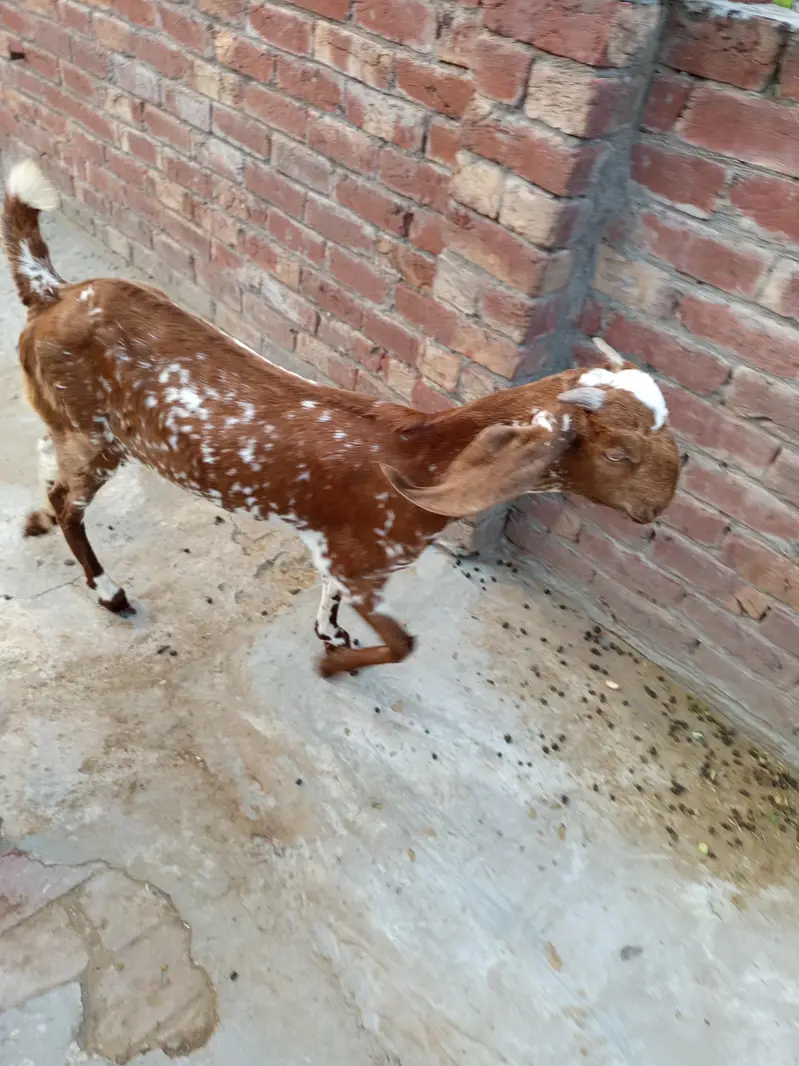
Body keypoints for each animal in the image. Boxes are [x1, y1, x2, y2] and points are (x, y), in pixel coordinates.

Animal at [4, 160, 680, 677]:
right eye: (617, 453)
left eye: (674, 440)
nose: (658, 509)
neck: (427, 454)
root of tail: (54, 291)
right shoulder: (364, 564)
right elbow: (404, 643)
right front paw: (333, 665)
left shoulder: (337, 554)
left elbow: (329, 597)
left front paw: (330, 638)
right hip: (95, 433)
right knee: (71, 501)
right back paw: (107, 590)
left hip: (74, 423)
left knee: (48, 461)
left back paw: (38, 519)